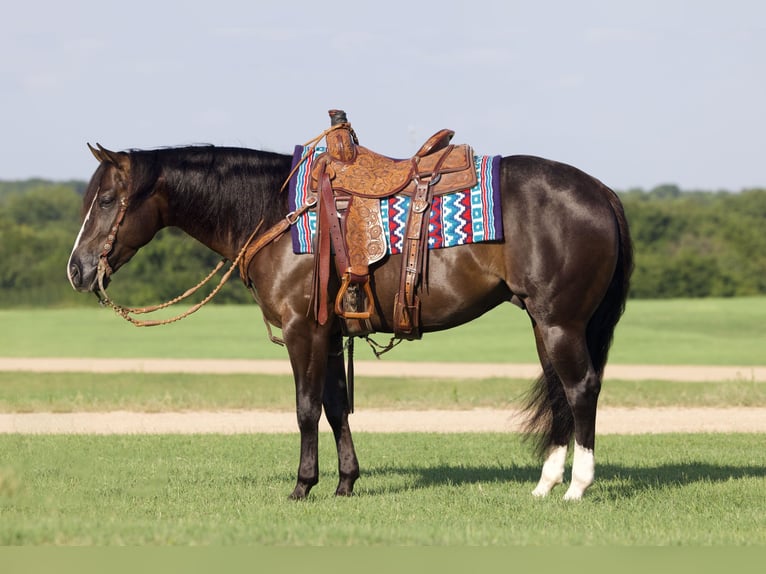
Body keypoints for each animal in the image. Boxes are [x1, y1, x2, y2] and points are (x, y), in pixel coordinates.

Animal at [66, 142, 632, 502]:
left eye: (108, 199)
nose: (77, 269)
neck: (275, 210)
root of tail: (600, 190)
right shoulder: (332, 333)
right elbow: (336, 408)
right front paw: (344, 482)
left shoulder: (303, 329)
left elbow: (305, 409)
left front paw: (302, 485)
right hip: (544, 323)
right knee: (560, 392)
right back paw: (545, 484)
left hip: (560, 322)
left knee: (580, 388)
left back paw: (578, 486)